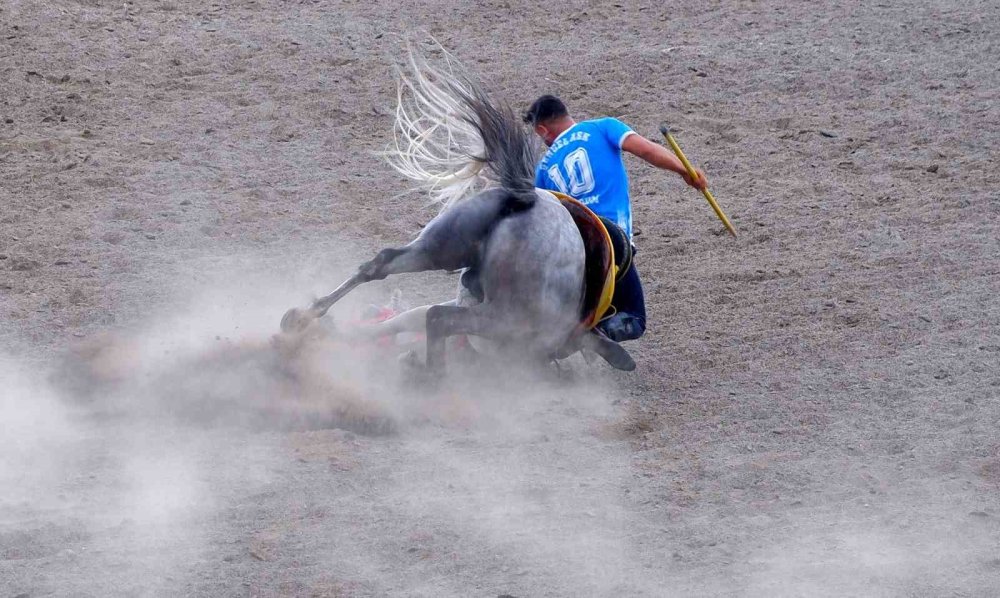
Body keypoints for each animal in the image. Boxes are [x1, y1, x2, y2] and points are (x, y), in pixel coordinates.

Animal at [278, 47, 632, 376]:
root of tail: (526, 199)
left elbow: (395, 323)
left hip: (442, 245)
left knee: (383, 265)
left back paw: (303, 318)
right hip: (500, 317)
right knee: (438, 318)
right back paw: (428, 373)